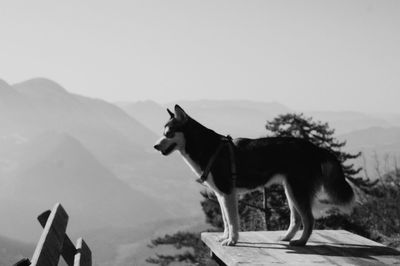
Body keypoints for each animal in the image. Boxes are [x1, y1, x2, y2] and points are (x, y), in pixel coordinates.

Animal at [153, 105, 354, 246]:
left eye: (169, 133)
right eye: (163, 133)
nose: (155, 146)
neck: (208, 148)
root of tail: (315, 148)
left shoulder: (228, 193)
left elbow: (232, 221)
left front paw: (232, 240)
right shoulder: (221, 195)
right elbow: (225, 220)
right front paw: (225, 237)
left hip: (297, 190)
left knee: (309, 220)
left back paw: (301, 242)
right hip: (291, 190)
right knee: (296, 220)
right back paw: (286, 237)